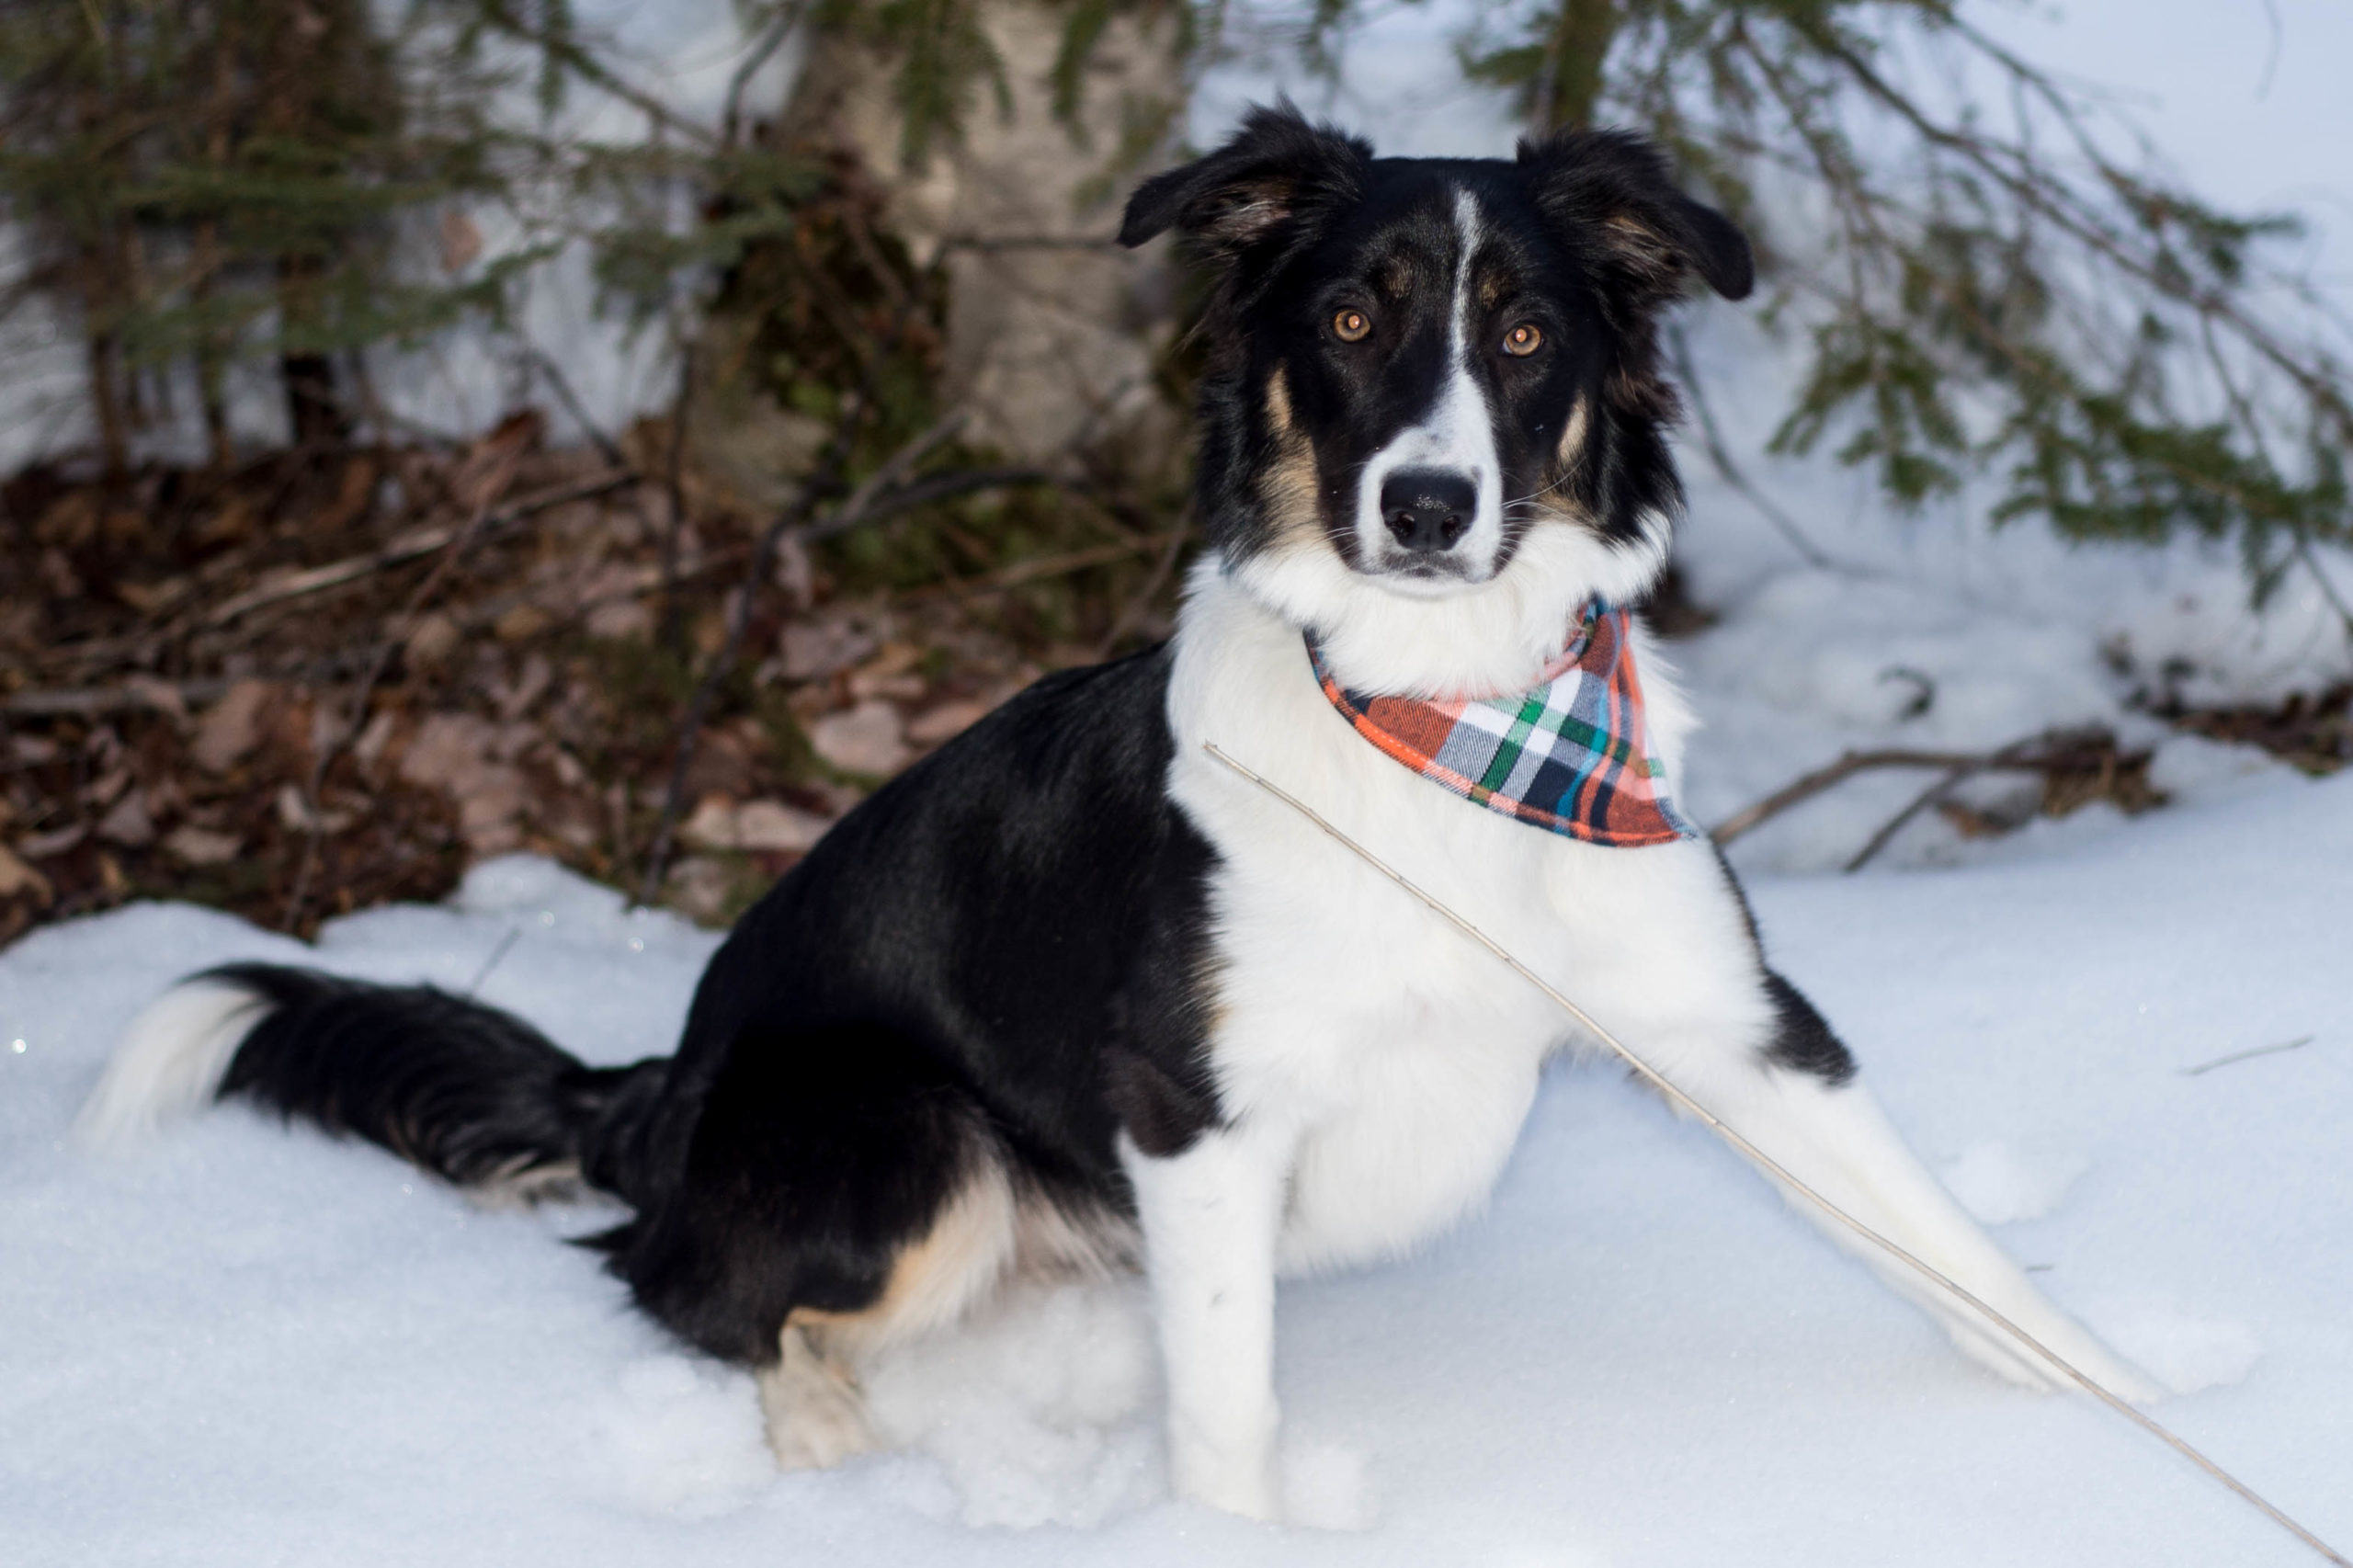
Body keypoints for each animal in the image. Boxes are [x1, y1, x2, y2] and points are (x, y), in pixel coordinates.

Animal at [86, 107, 2154, 1516]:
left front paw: (2156, 1424)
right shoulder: (1195, 1109)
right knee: (707, 1296)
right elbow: (1225, 1412)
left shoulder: (1733, 1026)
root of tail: (656, 1087)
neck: (1444, 722)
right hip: (904, 1139)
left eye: (1524, 339)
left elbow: (1961, 1260)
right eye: (1347, 318)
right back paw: (819, 1441)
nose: (1422, 505)